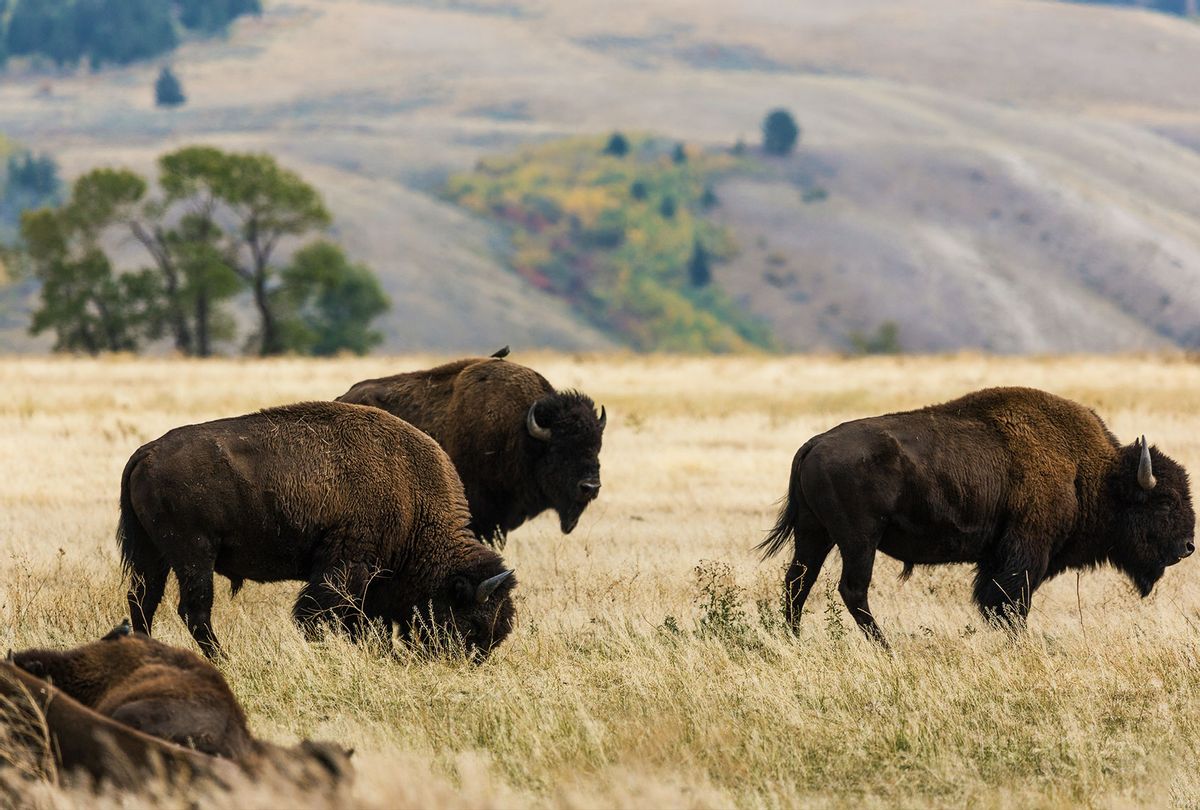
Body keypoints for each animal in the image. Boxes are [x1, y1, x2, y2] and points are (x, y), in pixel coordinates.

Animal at [114, 398, 518, 657]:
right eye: (472, 623)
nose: (466, 663)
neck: (413, 501)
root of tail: (147, 452)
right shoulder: (344, 568)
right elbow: (317, 615)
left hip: (153, 553)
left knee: (143, 600)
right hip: (194, 554)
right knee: (194, 609)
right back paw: (223, 660)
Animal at [763, 386, 1195, 648]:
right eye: (1164, 501)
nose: (1188, 547)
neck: (1090, 472)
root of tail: (813, 444)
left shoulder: (996, 557)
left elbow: (993, 600)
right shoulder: (1026, 552)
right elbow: (1011, 601)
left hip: (814, 534)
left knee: (798, 582)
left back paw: (794, 639)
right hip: (859, 541)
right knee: (851, 589)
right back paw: (886, 648)